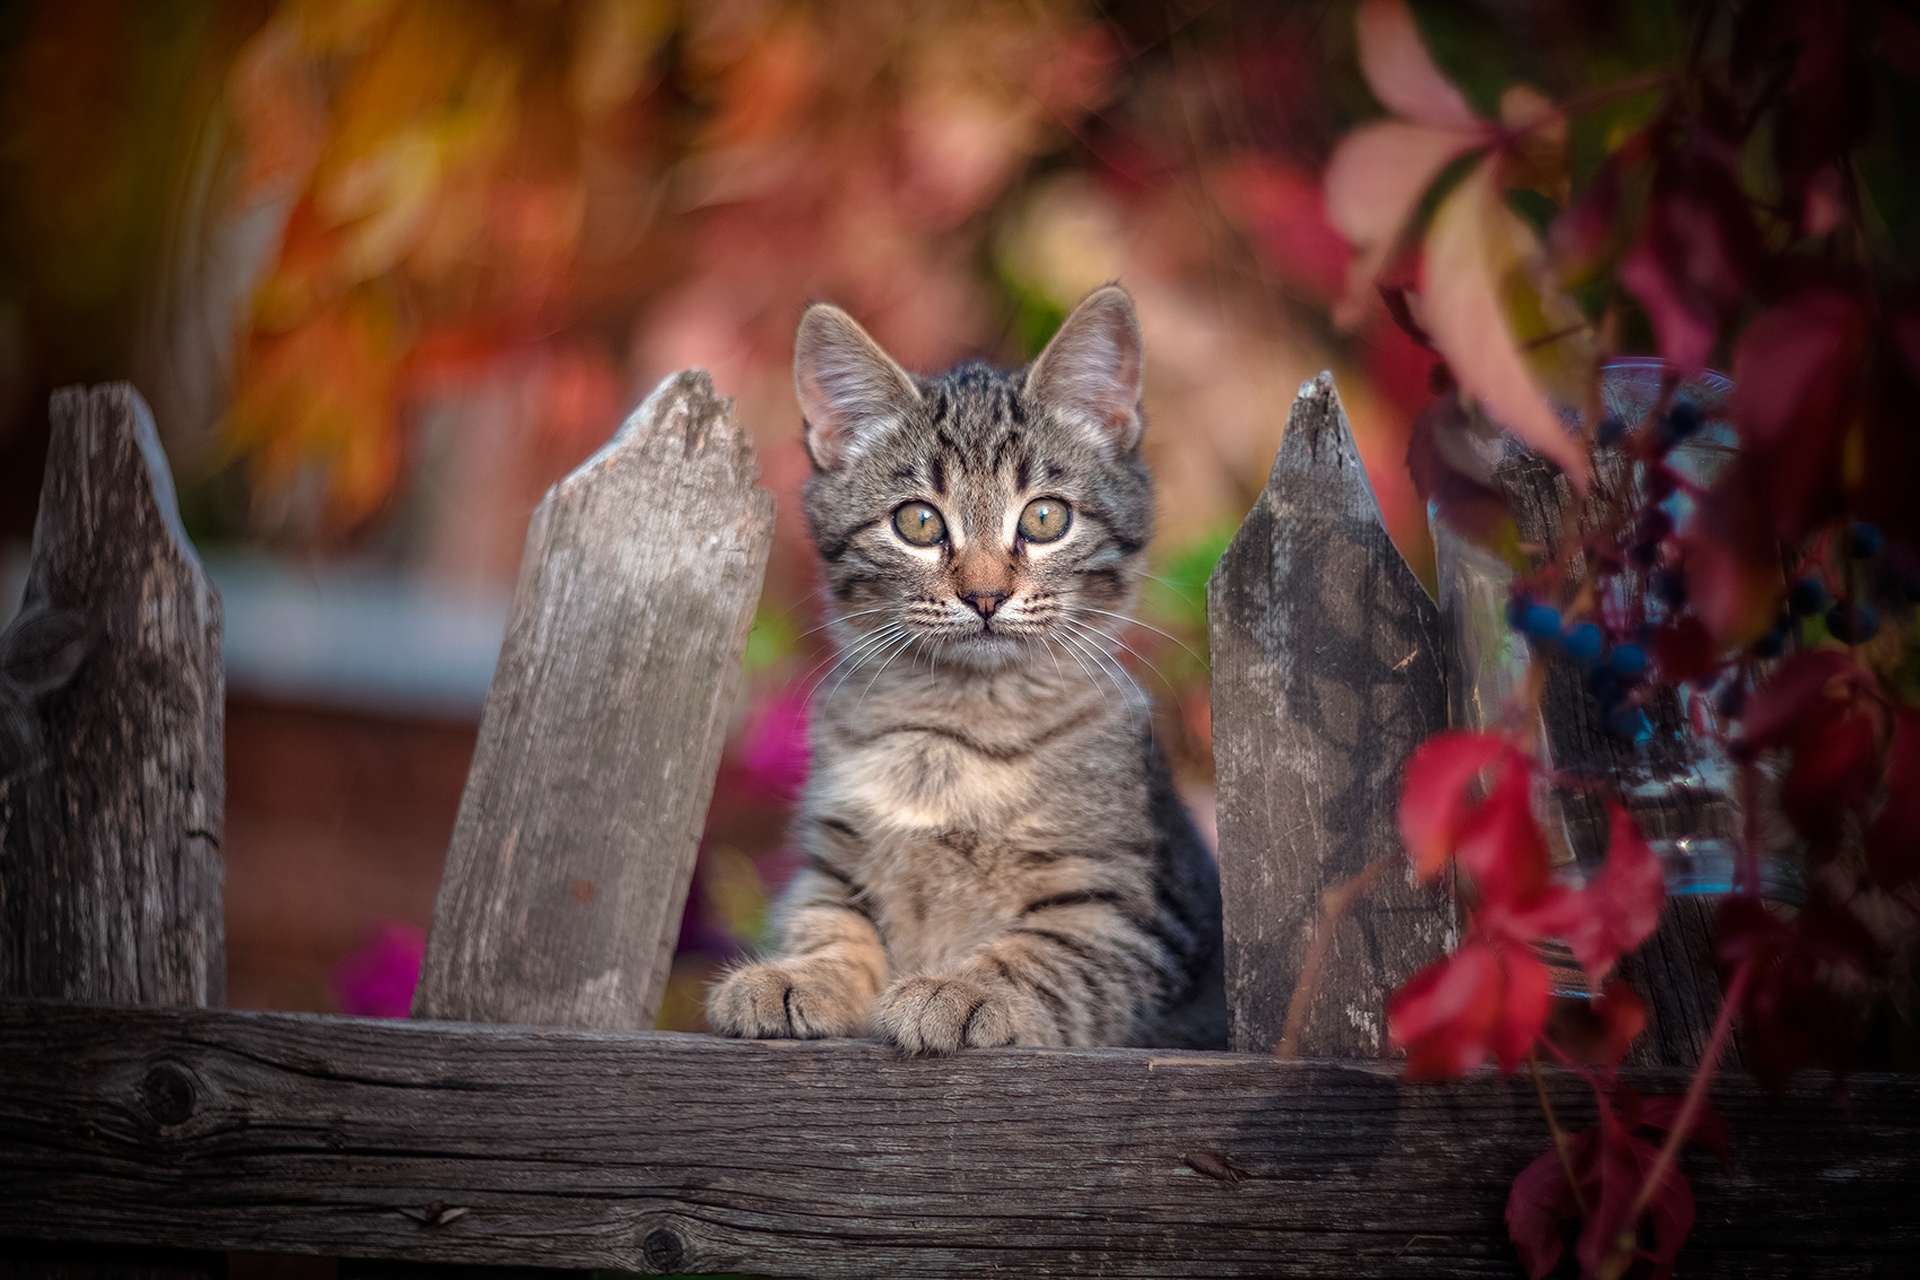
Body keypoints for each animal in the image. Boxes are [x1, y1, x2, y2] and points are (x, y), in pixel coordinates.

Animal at [710, 287, 1228, 1051]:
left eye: (1044, 518)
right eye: (919, 523)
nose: (985, 595)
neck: (960, 727)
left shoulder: (1133, 911)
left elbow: (1045, 954)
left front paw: (962, 990)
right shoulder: (833, 865)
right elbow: (831, 922)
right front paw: (799, 975)